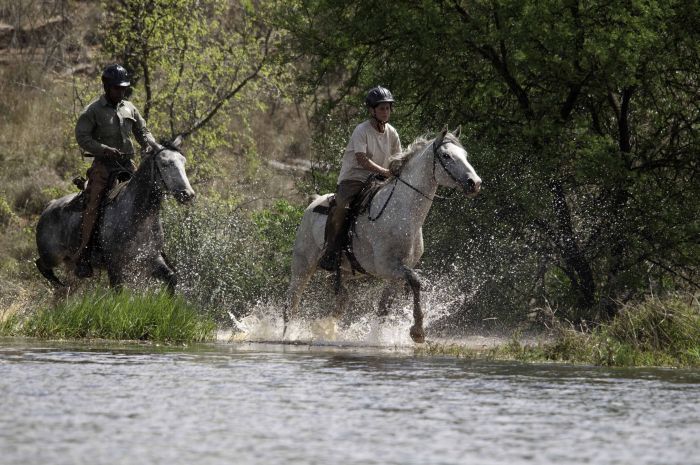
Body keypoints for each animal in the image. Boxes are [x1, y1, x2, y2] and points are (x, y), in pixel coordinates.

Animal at [35, 136, 194, 292]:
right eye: (165, 163)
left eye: (183, 162)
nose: (188, 194)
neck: (138, 216)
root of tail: (49, 206)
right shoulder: (115, 267)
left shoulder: (152, 259)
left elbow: (172, 278)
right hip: (51, 256)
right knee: (41, 265)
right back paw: (58, 284)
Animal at [284, 127, 482, 340]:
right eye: (446, 156)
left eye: (465, 155)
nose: (475, 183)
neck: (402, 213)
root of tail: (312, 203)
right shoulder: (387, 267)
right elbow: (416, 281)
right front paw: (417, 331)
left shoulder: (398, 273)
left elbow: (384, 308)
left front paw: (379, 337)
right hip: (303, 268)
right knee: (291, 305)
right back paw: (287, 336)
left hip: (347, 270)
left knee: (339, 292)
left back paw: (325, 324)